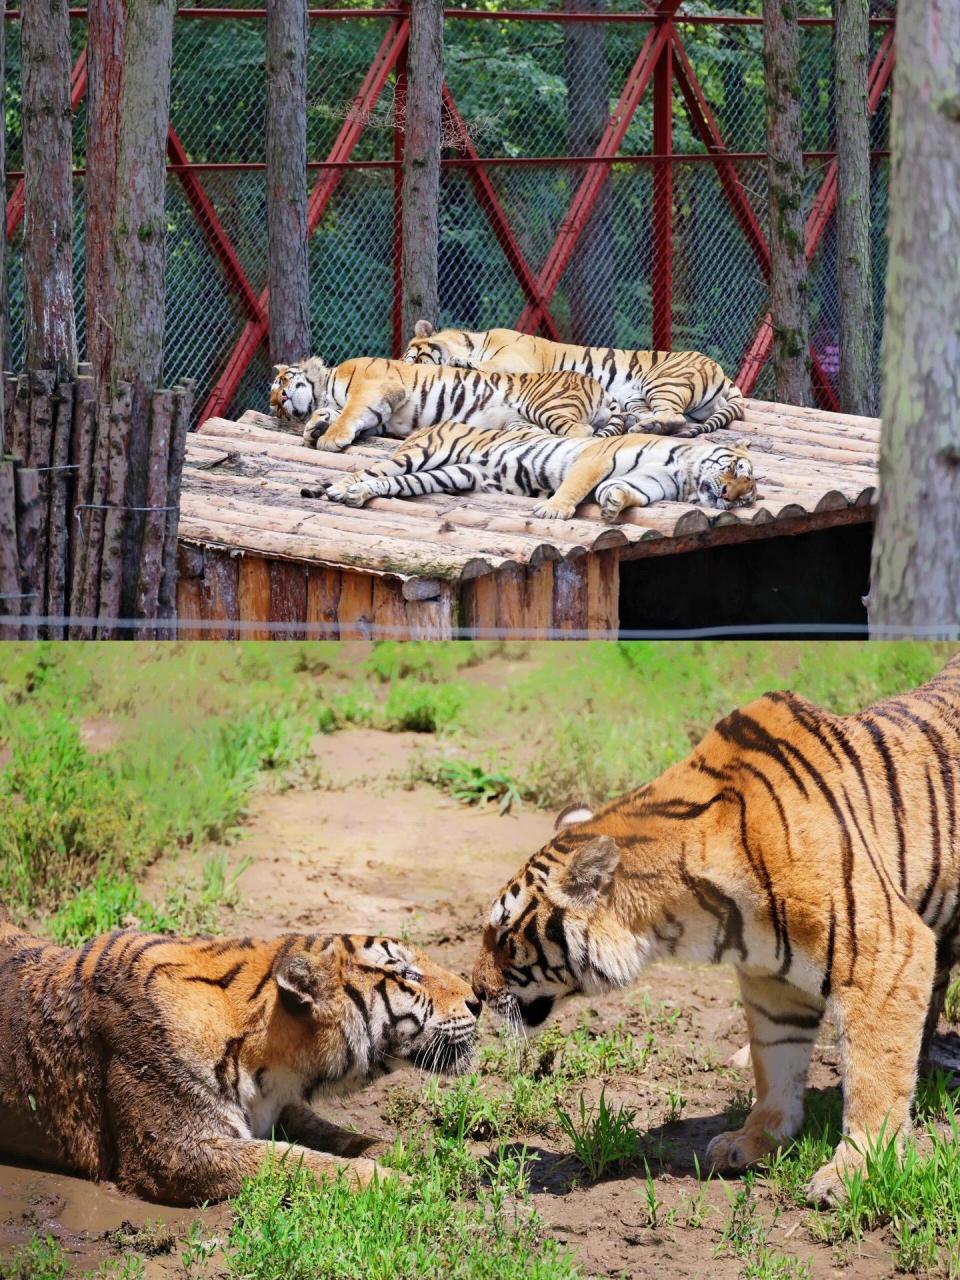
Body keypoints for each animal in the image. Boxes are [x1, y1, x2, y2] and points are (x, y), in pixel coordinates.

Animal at [0, 916, 480, 1205]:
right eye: (407, 974)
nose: (478, 999)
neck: (274, 1066)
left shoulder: (284, 1108)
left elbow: (335, 1136)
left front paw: (413, 1154)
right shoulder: (174, 1151)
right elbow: (292, 1160)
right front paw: (398, 1182)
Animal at [269, 355, 625, 451]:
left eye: (282, 381)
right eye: (275, 407)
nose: (281, 400)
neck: (324, 387)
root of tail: (603, 390)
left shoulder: (375, 389)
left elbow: (348, 415)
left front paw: (328, 437)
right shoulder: (379, 416)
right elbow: (335, 414)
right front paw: (314, 428)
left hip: (547, 406)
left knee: (581, 434)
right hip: (522, 422)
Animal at [402, 321, 745, 437]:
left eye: (413, 359)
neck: (472, 339)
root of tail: (720, 370)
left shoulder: (513, 360)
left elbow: (486, 365)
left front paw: (462, 362)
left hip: (662, 380)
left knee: (674, 416)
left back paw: (645, 427)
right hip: (637, 396)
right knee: (669, 417)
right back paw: (640, 424)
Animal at [471, 655, 960, 1207]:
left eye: (504, 936)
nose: (475, 991)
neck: (694, 916)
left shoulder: (886, 952)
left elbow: (875, 1074)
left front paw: (855, 1170)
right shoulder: (772, 981)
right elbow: (777, 1062)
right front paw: (754, 1141)